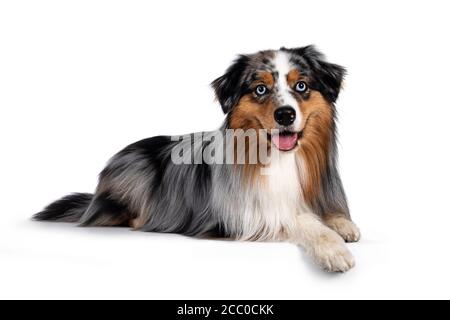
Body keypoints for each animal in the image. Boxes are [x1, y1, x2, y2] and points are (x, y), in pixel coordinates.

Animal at [33, 45, 360, 272]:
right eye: (260, 89)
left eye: (301, 85)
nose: (285, 115)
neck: (278, 158)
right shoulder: (250, 217)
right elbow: (302, 221)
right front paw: (334, 250)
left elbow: (326, 214)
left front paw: (343, 224)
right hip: (137, 173)